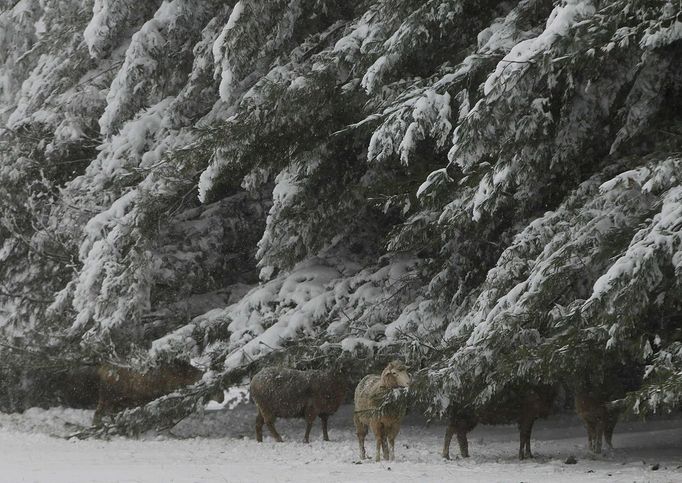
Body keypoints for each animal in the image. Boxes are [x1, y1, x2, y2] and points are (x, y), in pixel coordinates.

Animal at [91, 362, 220, 426]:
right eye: (213, 386)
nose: (222, 397)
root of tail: (102, 370)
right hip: (107, 397)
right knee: (98, 413)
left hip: (114, 400)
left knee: (109, 413)